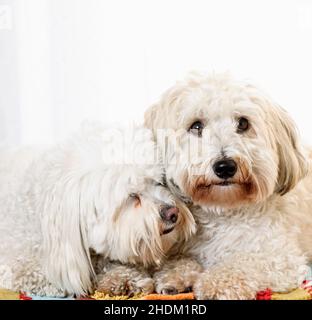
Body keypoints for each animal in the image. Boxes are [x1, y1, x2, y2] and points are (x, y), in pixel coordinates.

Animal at [0, 123, 195, 298]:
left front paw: (125, 278)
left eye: (157, 182)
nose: (173, 213)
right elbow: (34, 273)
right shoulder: (17, 262)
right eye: (132, 195)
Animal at [145, 73, 312, 300]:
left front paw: (214, 284)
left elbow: (243, 262)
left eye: (243, 123)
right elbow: (180, 260)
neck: (223, 212)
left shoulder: (280, 257)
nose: (225, 167)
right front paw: (175, 275)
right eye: (196, 126)